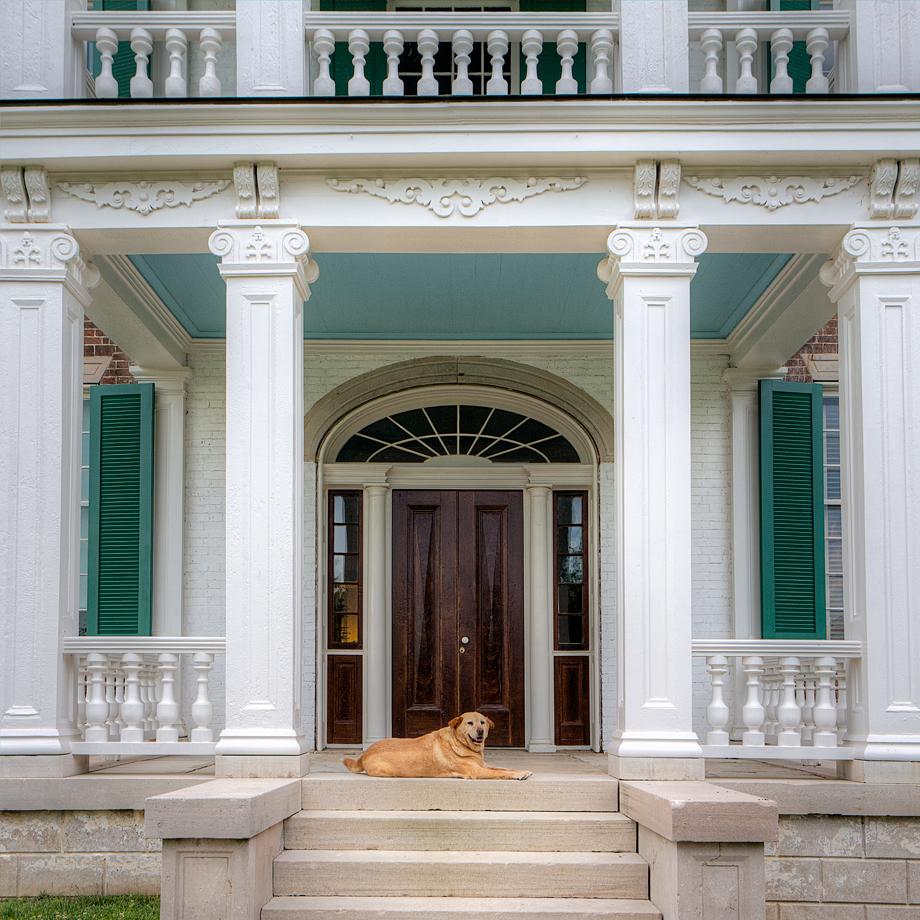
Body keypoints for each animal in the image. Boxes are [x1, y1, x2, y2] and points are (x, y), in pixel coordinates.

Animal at [344, 708, 532, 780]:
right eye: (470, 723)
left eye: (482, 722)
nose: (480, 731)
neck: (461, 744)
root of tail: (364, 754)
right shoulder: (477, 771)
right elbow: (500, 773)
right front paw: (517, 775)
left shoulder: (483, 765)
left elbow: (504, 767)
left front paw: (523, 771)